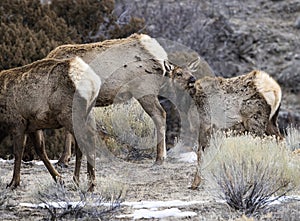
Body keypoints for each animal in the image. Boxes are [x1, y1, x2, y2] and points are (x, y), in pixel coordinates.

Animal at [0, 56, 101, 189]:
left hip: (70, 114)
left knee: (85, 141)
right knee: (86, 142)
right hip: (88, 113)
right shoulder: (33, 126)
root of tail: (92, 81)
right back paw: (83, 181)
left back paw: (85, 183)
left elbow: (18, 153)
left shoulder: (18, 123)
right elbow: (40, 150)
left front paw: (13, 183)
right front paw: (59, 179)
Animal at [45, 33, 196, 167]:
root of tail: (160, 55)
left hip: (144, 89)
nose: (192, 80)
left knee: (160, 114)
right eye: (179, 73)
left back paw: (159, 159)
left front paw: (63, 160)